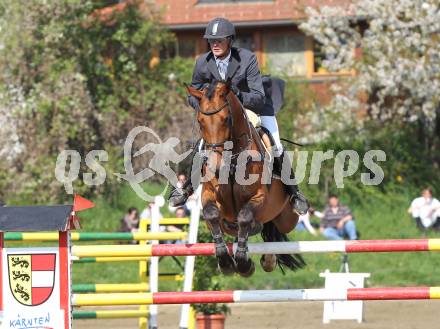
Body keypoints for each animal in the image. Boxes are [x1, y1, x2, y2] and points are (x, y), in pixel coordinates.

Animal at [186, 80, 306, 276]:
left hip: (288, 219)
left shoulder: (259, 197)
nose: (215, 166)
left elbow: (244, 216)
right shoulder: (209, 195)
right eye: (200, 121)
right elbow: (212, 215)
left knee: (273, 229)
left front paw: (243, 263)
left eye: (226, 119)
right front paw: (225, 262)